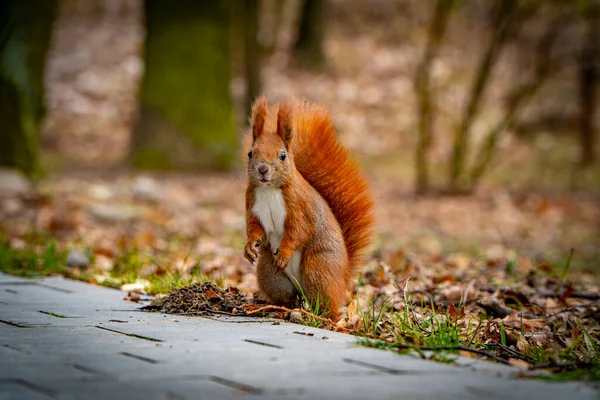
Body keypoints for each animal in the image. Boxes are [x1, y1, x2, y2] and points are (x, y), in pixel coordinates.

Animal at [241, 97, 372, 322]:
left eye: (282, 155)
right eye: (250, 153)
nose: (263, 169)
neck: (269, 190)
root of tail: (345, 276)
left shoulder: (301, 208)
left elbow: (298, 231)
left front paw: (284, 253)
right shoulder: (252, 206)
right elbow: (255, 228)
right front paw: (249, 247)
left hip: (318, 268)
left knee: (327, 306)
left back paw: (321, 317)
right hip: (270, 274)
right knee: (288, 296)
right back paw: (277, 308)